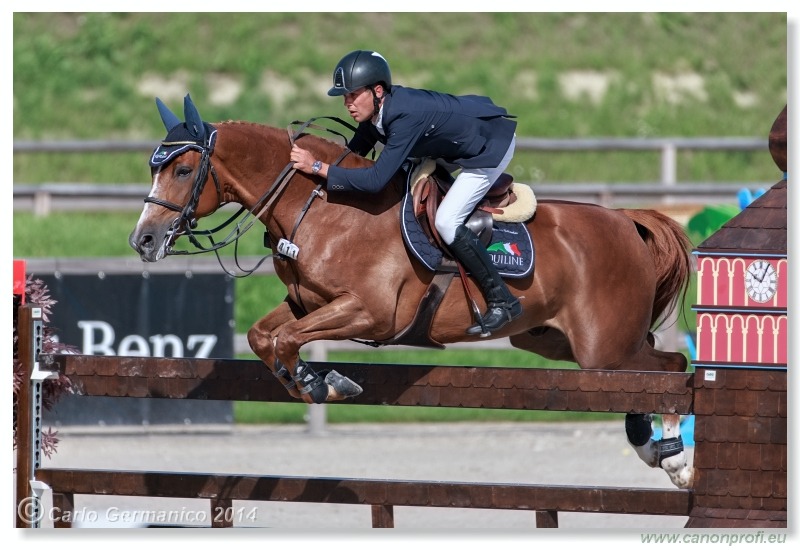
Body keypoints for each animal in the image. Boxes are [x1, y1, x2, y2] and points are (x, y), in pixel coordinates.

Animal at [131, 96, 692, 492]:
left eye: (183, 169)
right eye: (154, 168)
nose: (143, 240)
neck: (324, 207)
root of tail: (625, 221)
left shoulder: (371, 313)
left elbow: (288, 340)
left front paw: (321, 383)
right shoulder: (307, 303)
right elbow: (264, 337)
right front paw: (316, 379)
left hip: (603, 348)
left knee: (670, 369)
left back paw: (673, 457)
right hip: (553, 340)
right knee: (654, 370)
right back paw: (655, 450)